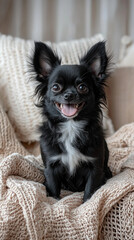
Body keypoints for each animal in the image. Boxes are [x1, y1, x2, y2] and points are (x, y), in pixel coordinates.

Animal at [32, 41, 112, 202]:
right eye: (56, 87)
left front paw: (86, 203)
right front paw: (55, 202)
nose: (69, 95)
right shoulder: (51, 167)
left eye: (82, 87)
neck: (71, 125)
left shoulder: (95, 167)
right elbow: (53, 190)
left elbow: (89, 192)